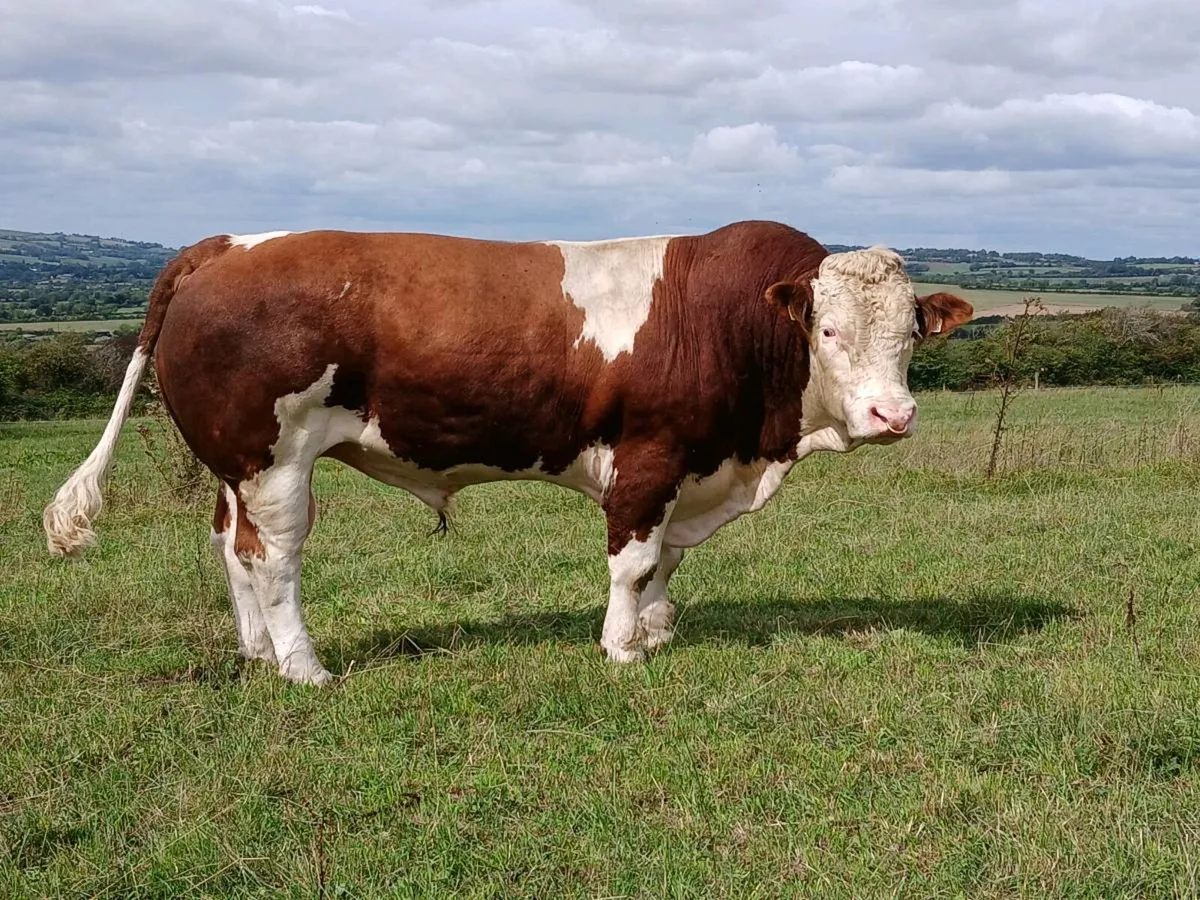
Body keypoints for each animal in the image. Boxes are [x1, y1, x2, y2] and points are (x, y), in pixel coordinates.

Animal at [43, 220, 972, 686]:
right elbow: (635, 561)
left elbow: (667, 562)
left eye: (912, 332)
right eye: (828, 329)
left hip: (234, 464)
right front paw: (623, 648)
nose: (894, 414)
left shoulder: (691, 469)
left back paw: (256, 653)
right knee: (273, 559)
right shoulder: (650, 456)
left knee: (229, 547)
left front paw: (657, 632)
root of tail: (224, 246)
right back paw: (303, 667)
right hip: (275, 462)